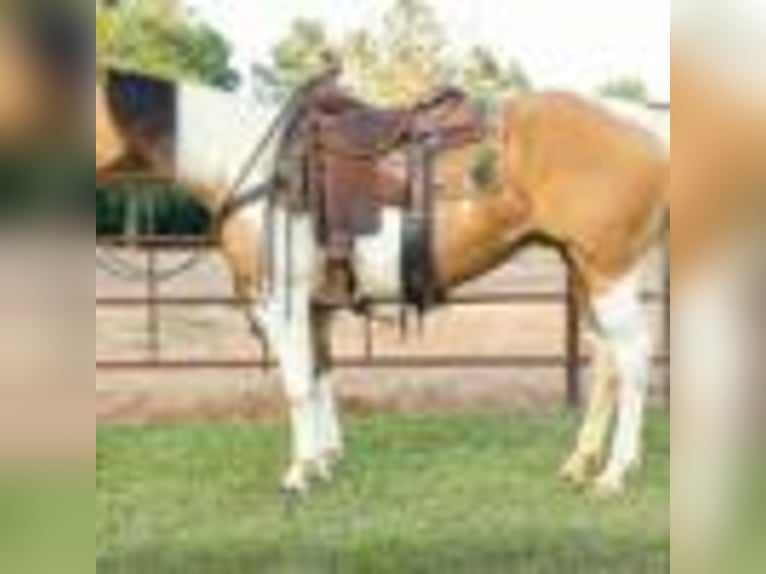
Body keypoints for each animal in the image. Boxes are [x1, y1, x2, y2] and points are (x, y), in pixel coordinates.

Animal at [95, 65, 669, 496]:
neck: (255, 164)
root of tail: (643, 124)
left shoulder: (281, 301)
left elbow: (297, 385)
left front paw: (299, 473)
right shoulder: (315, 306)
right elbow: (321, 376)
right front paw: (326, 458)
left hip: (609, 269)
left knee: (634, 359)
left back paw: (615, 473)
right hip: (583, 268)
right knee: (607, 362)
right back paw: (580, 462)